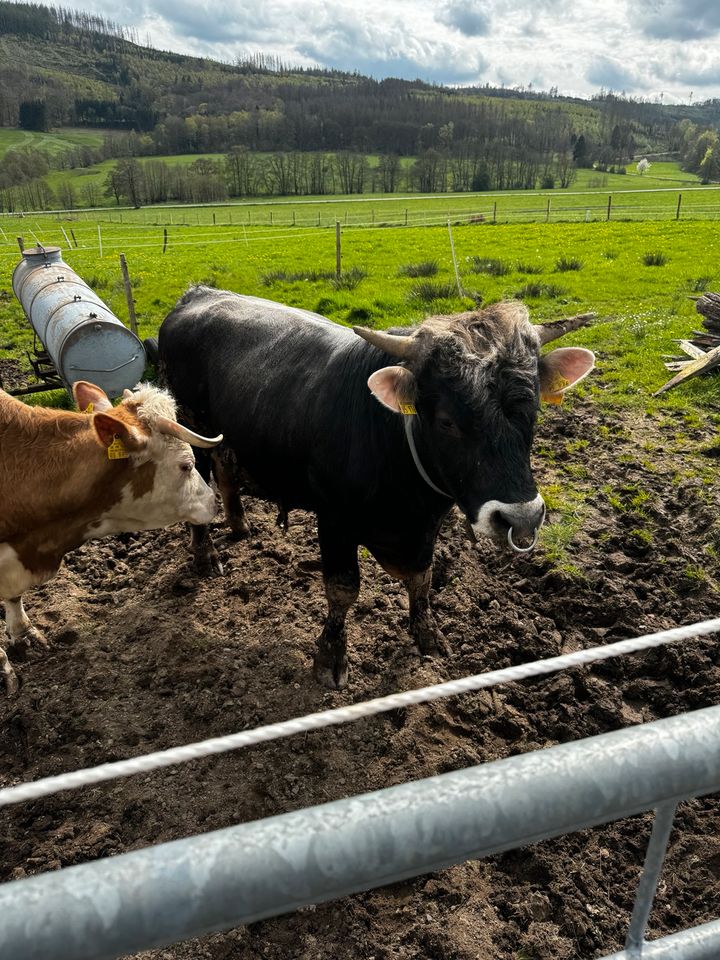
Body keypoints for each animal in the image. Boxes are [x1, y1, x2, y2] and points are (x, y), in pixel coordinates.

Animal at [159, 288, 596, 688]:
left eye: (533, 411)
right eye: (447, 421)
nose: (520, 519)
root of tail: (199, 293)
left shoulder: (428, 525)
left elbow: (422, 578)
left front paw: (427, 635)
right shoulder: (334, 519)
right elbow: (342, 589)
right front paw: (330, 657)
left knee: (225, 468)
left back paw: (239, 524)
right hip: (191, 427)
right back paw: (205, 555)